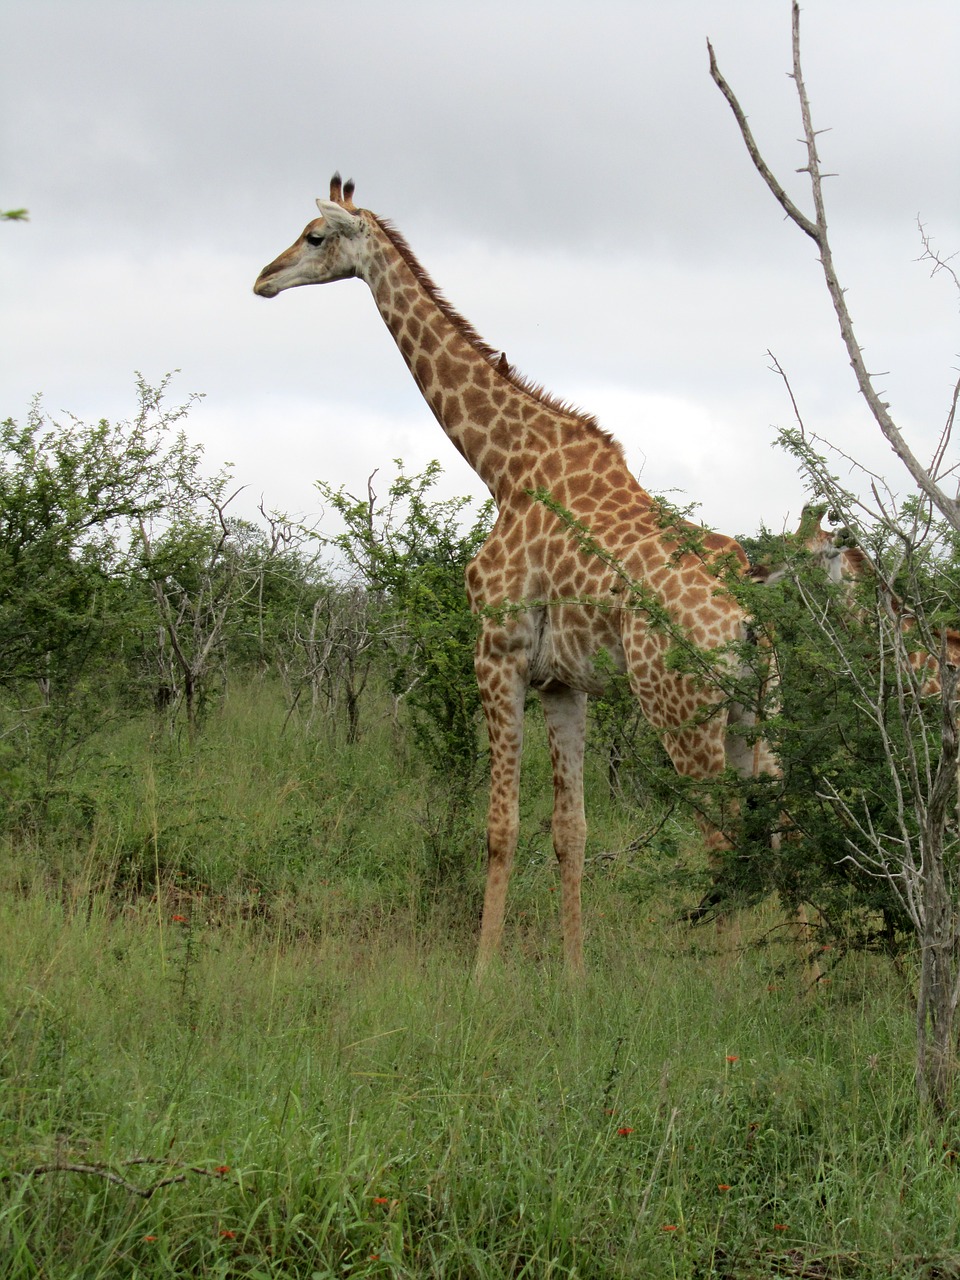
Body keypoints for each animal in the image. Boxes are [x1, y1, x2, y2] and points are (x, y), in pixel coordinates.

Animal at [252, 172, 778, 967]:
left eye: (314, 237)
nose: (263, 278)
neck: (504, 466)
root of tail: (750, 617)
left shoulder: (495, 652)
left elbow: (499, 827)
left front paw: (482, 972)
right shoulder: (563, 680)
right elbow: (571, 832)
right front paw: (574, 973)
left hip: (680, 705)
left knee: (724, 837)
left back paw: (728, 978)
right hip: (756, 710)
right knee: (777, 823)